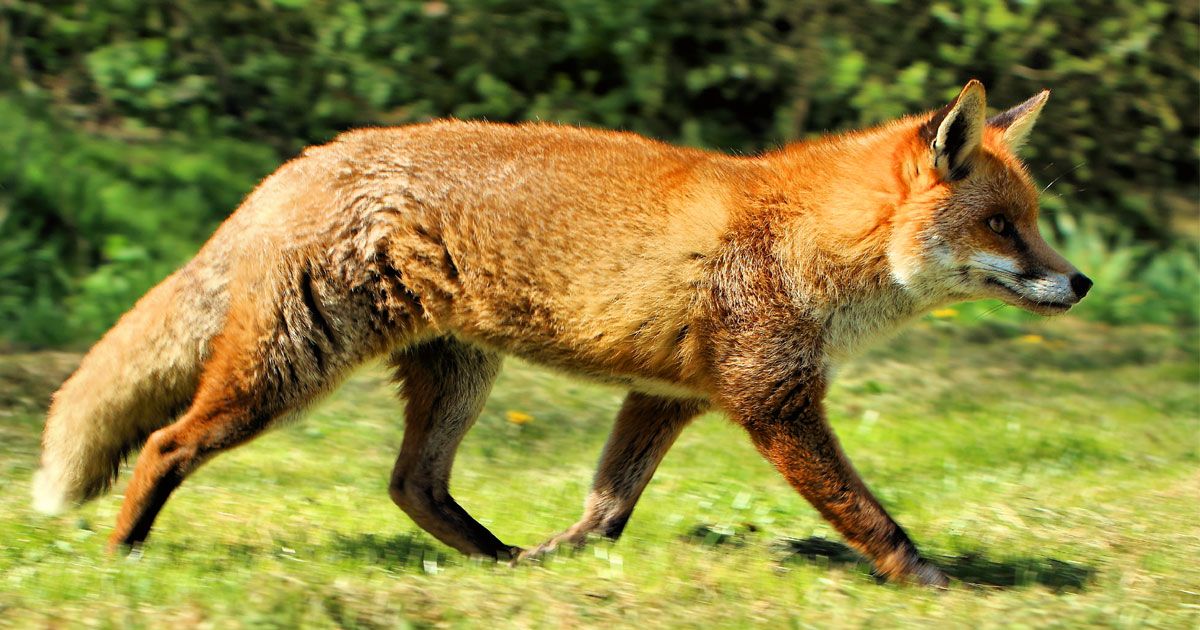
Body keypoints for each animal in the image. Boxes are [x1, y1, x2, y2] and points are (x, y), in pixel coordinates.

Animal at [35, 79, 1089, 585]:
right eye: (1004, 226)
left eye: (1033, 221)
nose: (1078, 282)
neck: (804, 236)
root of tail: (303, 160)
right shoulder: (772, 399)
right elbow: (869, 515)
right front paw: (930, 581)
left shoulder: (667, 398)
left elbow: (608, 506)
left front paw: (565, 561)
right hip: (291, 369)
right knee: (166, 444)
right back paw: (122, 557)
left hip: (458, 377)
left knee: (412, 485)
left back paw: (498, 563)